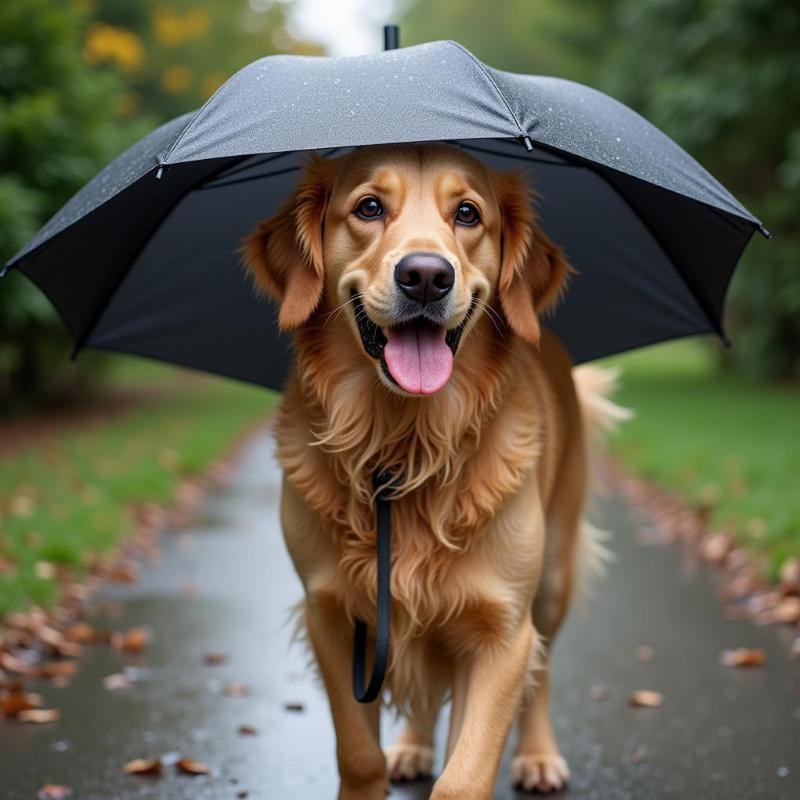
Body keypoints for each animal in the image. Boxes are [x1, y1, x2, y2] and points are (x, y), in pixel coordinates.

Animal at [242, 145, 624, 800]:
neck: (405, 445)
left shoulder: (502, 631)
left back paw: (539, 756)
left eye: (468, 213)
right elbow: (358, 751)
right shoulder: (332, 616)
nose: (425, 275)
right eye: (369, 206)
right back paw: (414, 746)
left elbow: (465, 772)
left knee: (543, 670)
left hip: (551, 577)